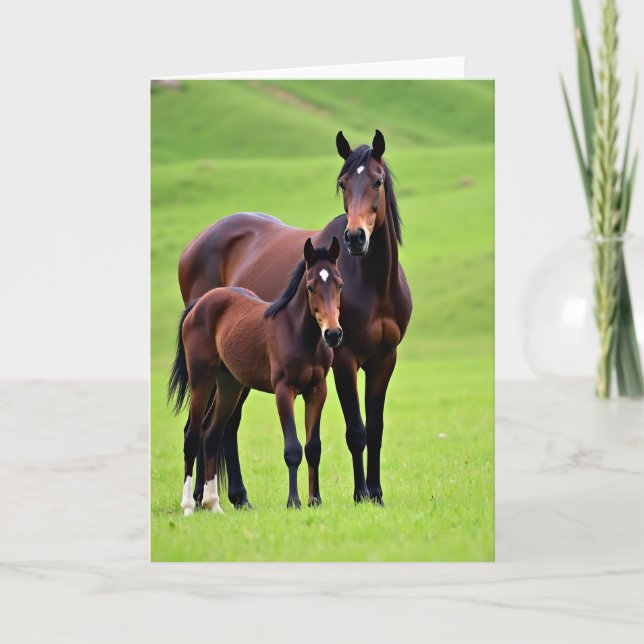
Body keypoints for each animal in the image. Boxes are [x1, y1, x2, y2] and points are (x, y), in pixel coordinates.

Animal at [168, 238, 344, 514]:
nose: (333, 334)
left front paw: (315, 500)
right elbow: (292, 449)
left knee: (212, 432)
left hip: (230, 385)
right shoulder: (284, 390)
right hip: (202, 380)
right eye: (310, 286)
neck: (299, 335)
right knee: (192, 434)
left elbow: (313, 447)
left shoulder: (317, 391)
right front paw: (293, 502)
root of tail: (199, 303)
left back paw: (214, 504)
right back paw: (188, 505)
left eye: (340, 284)